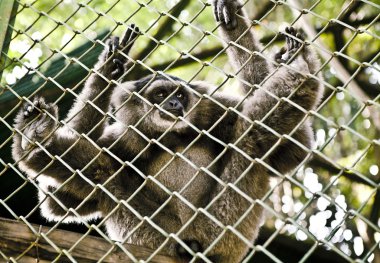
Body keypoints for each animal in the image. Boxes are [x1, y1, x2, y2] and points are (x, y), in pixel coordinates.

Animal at [12, 0, 324, 262]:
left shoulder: (218, 111)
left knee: (250, 138)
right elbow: (58, 202)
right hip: (157, 238)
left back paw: (299, 65)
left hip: (224, 230)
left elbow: (292, 148)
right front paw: (109, 69)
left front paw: (232, 19)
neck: (170, 137)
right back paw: (34, 140)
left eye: (179, 94)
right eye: (161, 94)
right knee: (106, 172)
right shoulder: (122, 139)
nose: (174, 103)